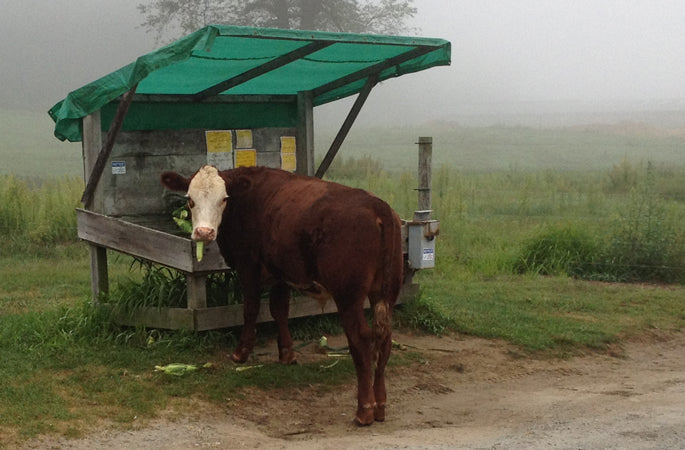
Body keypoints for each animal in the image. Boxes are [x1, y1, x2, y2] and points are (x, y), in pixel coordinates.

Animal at [159, 165, 406, 426]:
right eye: (190, 199)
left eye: (223, 199)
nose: (204, 232)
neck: (248, 199)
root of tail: (377, 206)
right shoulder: (280, 272)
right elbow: (279, 309)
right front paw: (286, 353)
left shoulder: (248, 266)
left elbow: (251, 309)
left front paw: (241, 352)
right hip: (386, 293)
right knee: (384, 339)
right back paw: (380, 405)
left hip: (349, 297)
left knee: (361, 340)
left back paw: (365, 409)